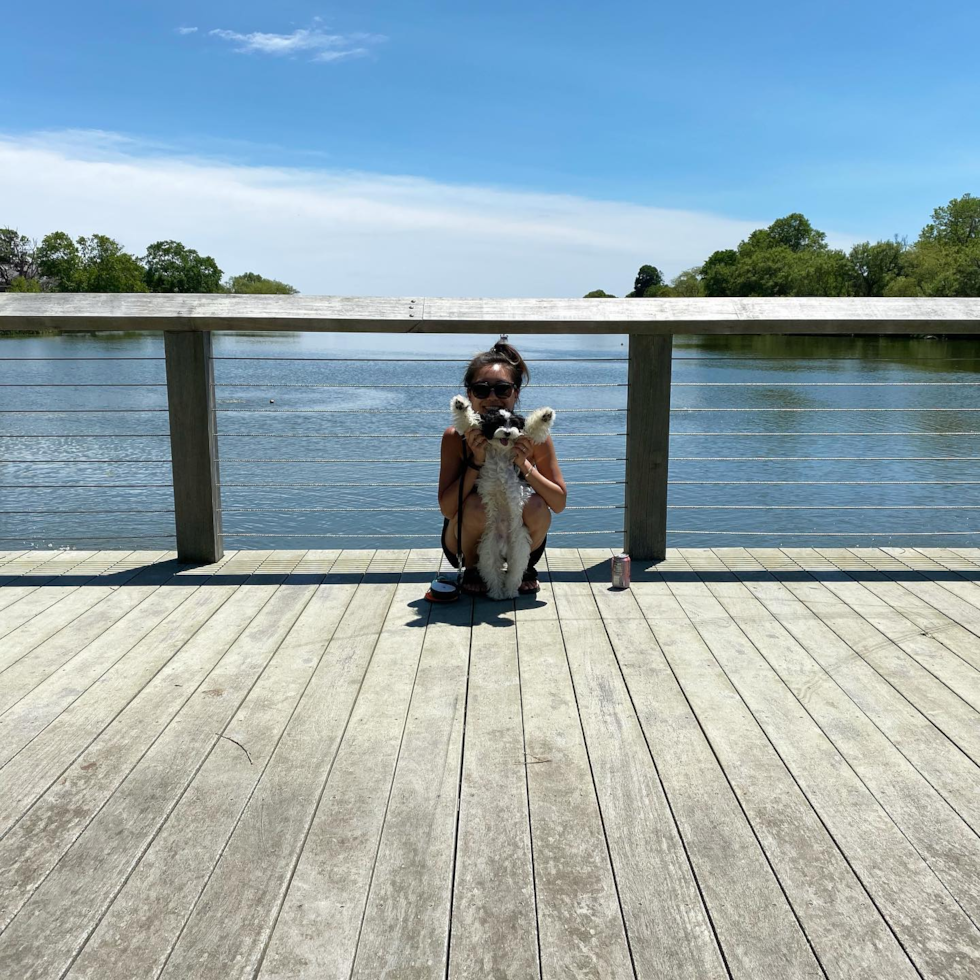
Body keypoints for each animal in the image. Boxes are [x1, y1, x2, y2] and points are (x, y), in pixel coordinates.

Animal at [450, 396, 556, 596]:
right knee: (493, 572)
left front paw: (545, 416)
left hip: (519, 549)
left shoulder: (522, 439)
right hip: (488, 550)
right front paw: (460, 404)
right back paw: (497, 593)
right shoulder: (477, 432)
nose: (507, 433)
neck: (500, 450)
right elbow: (468, 422)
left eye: (513, 424)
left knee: (515, 571)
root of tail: (504, 543)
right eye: (497, 423)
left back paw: (511, 591)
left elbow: (531, 429)